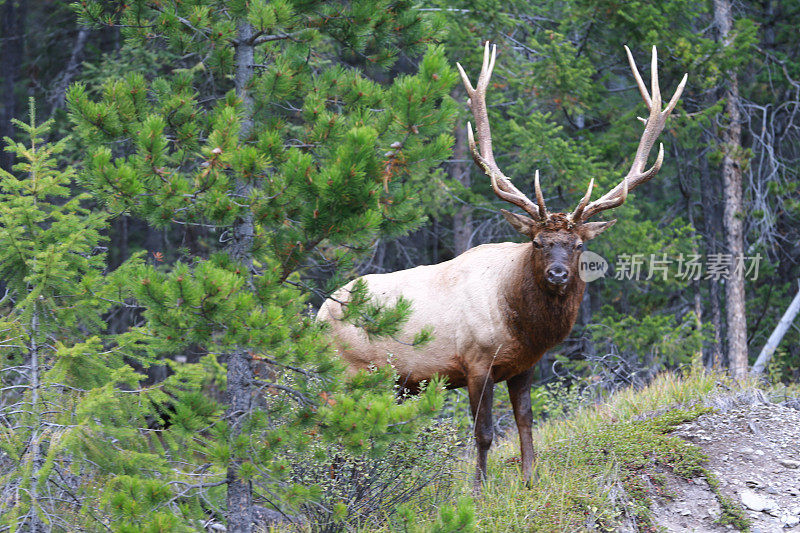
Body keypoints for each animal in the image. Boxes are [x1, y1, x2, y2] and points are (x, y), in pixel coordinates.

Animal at [318, 44, 688, 486]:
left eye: (579, 244)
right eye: (537, 242)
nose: (558, 273)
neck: (522, 324)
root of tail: (318, 313)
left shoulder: (524, 366)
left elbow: (526, 421)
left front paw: (530, 478)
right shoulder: (475, 362)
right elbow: (484, 433)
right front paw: (478, 488)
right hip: (344, 374)